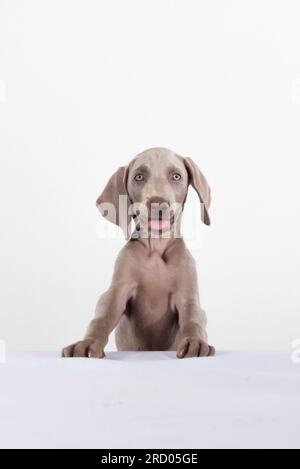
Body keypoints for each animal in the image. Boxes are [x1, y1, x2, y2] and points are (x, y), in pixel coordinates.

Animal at [62, 148, 214, 356]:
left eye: (176, 176)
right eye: (139, 177)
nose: (158, 204)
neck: (156, 250)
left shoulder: (187, 297)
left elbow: (193, 320)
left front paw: (195, 342)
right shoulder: (118, 291)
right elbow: (101, 318)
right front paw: (87, 343)